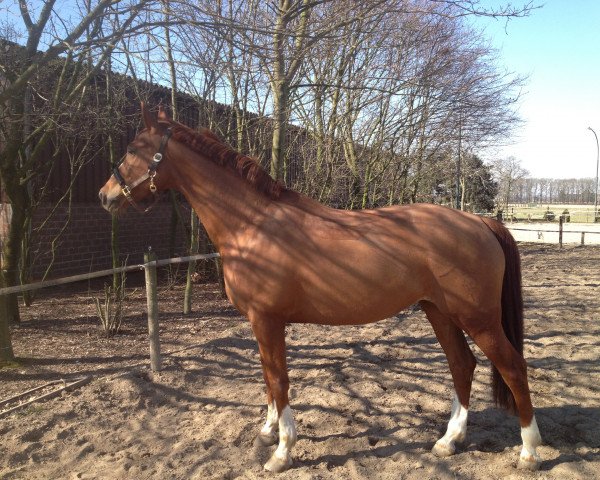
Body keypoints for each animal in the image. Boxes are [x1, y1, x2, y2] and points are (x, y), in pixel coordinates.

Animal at [99, 106, 544, 472]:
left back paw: (528, 452)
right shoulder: (261, 324)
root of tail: (479, 222)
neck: (252, 225)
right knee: (462, 366)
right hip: (439, 312)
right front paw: (268, 431)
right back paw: (450, 440)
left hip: (478, 318)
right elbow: (268, 377)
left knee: (512, 367)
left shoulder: (268, 320)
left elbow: (279, 380)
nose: (105, 196)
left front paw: (282, 452)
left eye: (134, 148)